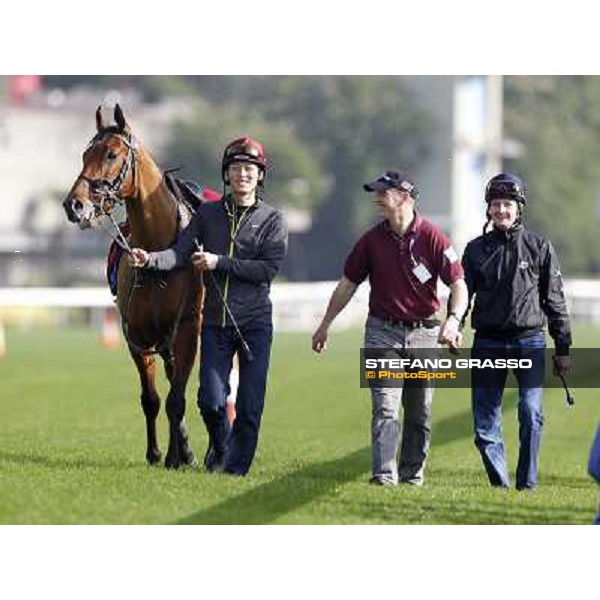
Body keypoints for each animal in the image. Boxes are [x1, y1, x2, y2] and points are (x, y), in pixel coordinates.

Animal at [63, 104, 203, 468]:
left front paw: (178, 456)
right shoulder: (137, 335)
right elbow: (152, 398)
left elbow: (177, 397)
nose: (74, 204)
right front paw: (157, 453)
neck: (159, 257)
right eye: (84, 154)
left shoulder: (187, 328)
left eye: (112, 154)